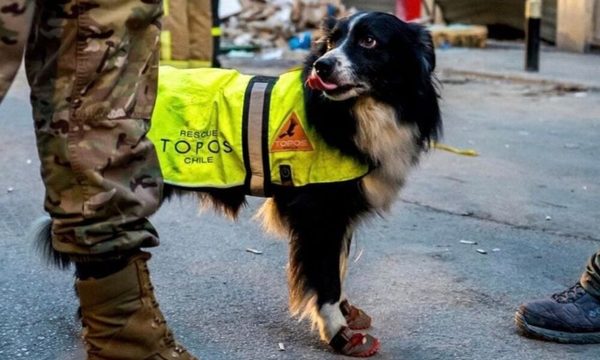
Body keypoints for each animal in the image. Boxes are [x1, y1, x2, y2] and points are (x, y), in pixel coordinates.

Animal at [36, 11, 440, 358]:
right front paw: (339, 332)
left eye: (369, 41)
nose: (322, 65)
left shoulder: (338, 212)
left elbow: (336, 265)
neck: (360, 111)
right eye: (330, 42)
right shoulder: (318, 215)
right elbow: (325, 276)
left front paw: (345, 312)